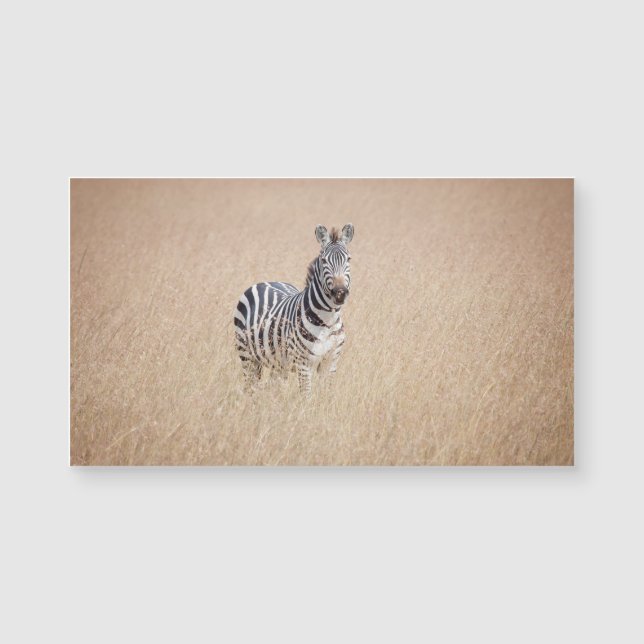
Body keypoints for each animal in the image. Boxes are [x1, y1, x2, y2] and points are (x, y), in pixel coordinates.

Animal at [234, 223, 354, 394]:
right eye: (324, 260)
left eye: (348, 259)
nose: (340, 293)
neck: (327, 321)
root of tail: (265, 282)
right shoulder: (303, 364)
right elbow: (306, 396)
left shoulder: (330, 362)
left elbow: (326, 395)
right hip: (247, 356)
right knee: (250, 388)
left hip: (277, 363)